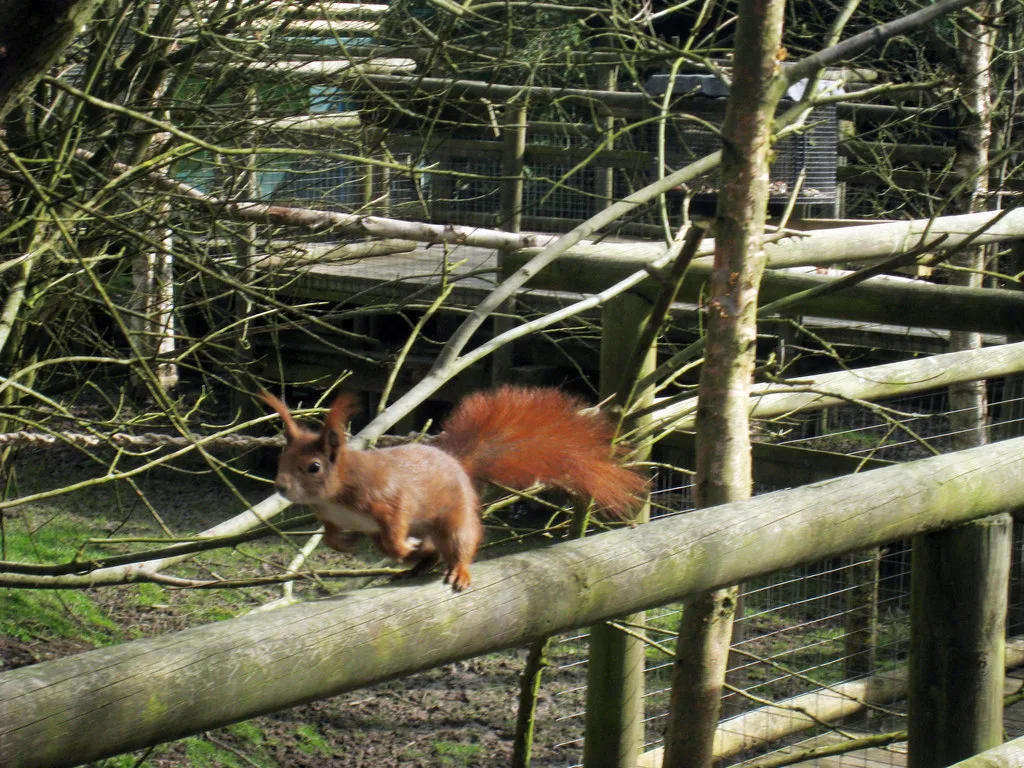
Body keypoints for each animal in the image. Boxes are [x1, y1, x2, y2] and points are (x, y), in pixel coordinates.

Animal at [261, 385, 646, 591]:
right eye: (281, 459)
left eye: (313, 467)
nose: (281, 486)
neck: (335, 494)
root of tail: (457, 463)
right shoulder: (332, 516)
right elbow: (329, 536)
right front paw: (345, 544)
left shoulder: (389, 499)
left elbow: (394, 531)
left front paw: (402, 546)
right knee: (429, 553)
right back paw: (415, 565)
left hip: (454, 521)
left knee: (460, 545)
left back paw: (451, 568)